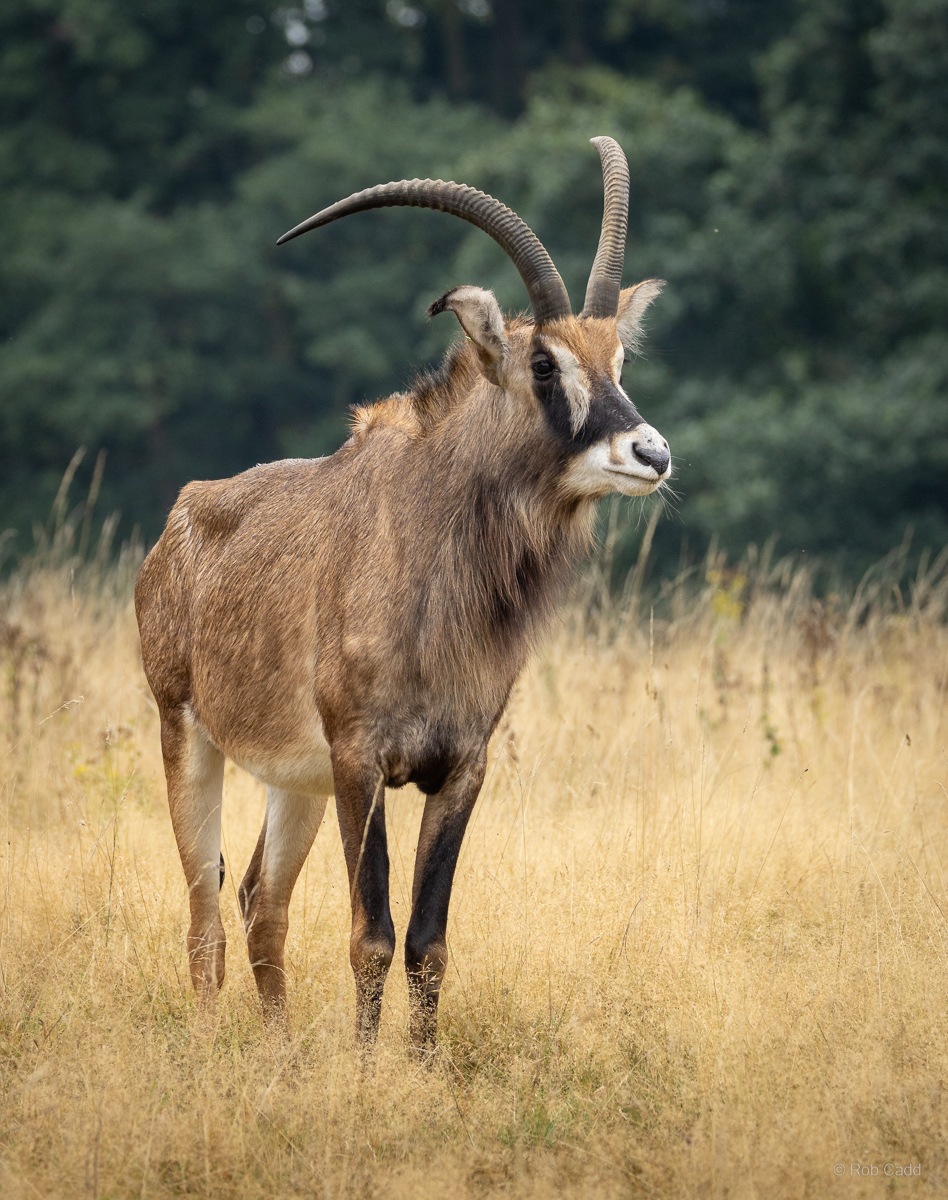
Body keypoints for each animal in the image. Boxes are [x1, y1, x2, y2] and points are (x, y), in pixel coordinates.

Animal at [135, 136, 671, 1051]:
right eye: (543, 363)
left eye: (618, 360)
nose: (652, 454)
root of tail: (182, 518)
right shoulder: (363, 762)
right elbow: (372, 936)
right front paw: (364, 1069)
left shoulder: (459, 768)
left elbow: (428, 943)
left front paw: (416, 1069)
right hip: (189, 734)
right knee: (205, 912)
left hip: (295, 781)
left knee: (260, 904)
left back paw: (282, 1059)